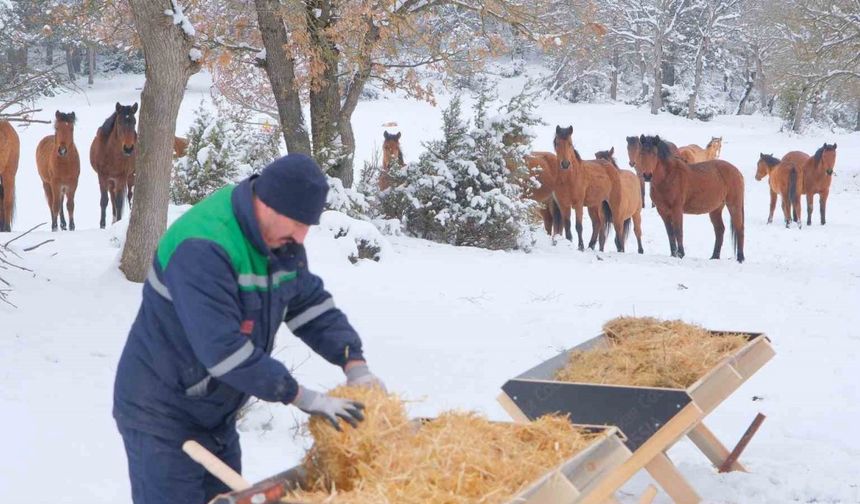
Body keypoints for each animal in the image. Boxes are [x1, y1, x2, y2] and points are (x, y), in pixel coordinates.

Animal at [640, 136, 744, 266]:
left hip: (734, 205)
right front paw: (673, 254)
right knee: (720, 230)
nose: (647, 175)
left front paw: (680, 254)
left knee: (739, 228)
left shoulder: (677, 209)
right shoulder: (662, 211)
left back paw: (740, 258)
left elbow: (678, 231)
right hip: (716, 209)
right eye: (642, 153)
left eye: (654, 153)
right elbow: (670, 233)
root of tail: (737, 171)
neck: (668, 177)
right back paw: (714, 256)